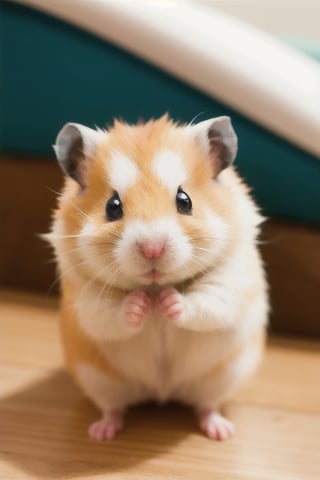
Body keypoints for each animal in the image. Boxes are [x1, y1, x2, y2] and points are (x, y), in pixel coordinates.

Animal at [47, 114, 268, 440]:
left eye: (185, 200)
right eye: (112, 207)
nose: (153, 249)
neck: (154, 284)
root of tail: (162, 393)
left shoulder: (229, 283)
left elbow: (203, 304)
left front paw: (166, 302)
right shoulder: (87, 300)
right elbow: (112, 316)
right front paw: (142, 304)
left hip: (222, 377)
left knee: (207, 405)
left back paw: (220, 431)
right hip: (99, 380)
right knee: (113, 407)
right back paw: (101, 432)